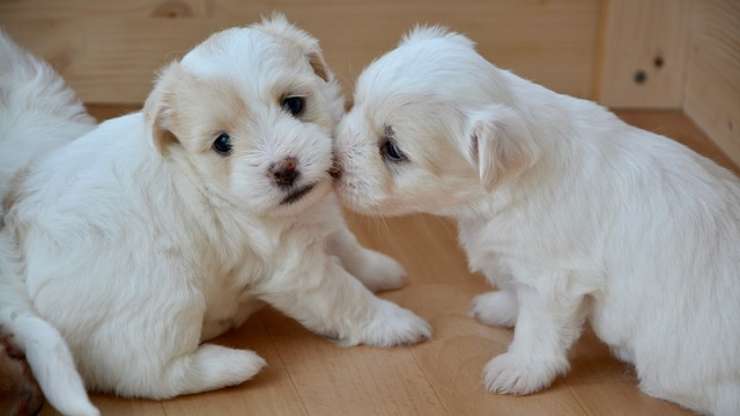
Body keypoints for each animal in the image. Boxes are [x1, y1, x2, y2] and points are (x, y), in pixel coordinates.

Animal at [0, 16, 430, 416]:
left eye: (294, 104)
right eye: (223, 143)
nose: (284, 168)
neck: (208, 181)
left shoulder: (316, 219)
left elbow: (347, 247)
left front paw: (383, 271)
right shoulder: (296, 270)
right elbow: (347, 297)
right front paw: (396, 323)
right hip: (168, 298)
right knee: (148, 375)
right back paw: (234, 364)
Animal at [336, 26, 740, 416]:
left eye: (393, 150)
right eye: (355, 102)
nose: (332, 165)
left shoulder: (554, 279)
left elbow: (538, 329)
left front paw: (520, 369)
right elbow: (518, 294)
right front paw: (500, 308)